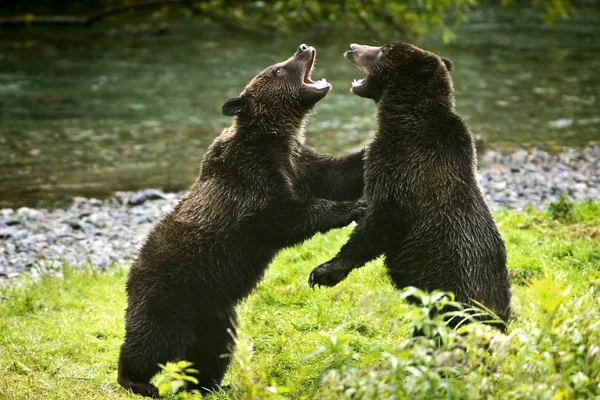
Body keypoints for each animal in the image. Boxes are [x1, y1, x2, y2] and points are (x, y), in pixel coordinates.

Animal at [115, 44, 364, 396]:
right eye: (277, 69)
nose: (304, 47)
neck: (275, 141)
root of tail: (132, 271)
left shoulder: (300, 165)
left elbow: (338, 173)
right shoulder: (250, 184)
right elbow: (280, 218)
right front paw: (352, 208)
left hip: (213, 310)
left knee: (213, 348)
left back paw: (207, 385)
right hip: (168, 292)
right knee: (154, 340)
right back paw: (136, 380)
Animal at [310, 42, 510, 332]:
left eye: (383, 50)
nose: (352, 46)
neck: (404, 118)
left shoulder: (403, 167)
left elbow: (383, 221)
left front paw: (325, 271)